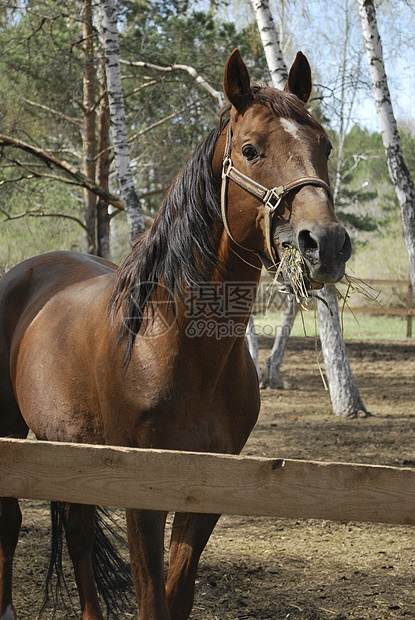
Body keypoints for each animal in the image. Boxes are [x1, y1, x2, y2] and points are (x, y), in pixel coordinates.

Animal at [0, 49, 352, 620]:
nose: (326, 243)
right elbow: (151, 598)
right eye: (251, 149)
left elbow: (177, 593)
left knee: (77, 532)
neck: (179, 349)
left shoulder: (205, 490)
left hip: (69, 444)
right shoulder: (143, 495)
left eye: (323, 145)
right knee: (10, 521)